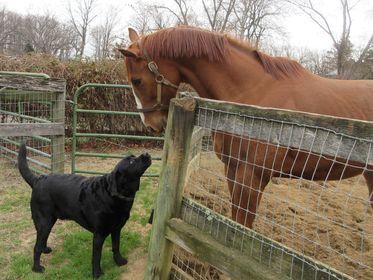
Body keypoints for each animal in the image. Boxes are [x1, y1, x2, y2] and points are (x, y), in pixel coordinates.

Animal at [17, 143, 151, 278]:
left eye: (133, 157)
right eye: (131, 161)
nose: (146, 153)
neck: (113, 195)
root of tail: (37, 180)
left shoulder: (117, 229)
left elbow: (116, 246)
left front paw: (119, 261)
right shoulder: (99, 235)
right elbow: (97, 257)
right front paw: (97, 273)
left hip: (49, 221)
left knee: (42, 240)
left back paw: (45, 250)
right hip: (44, 221)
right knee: (36, 247)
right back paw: (37, 268)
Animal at [120, 25, 372, 228]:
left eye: (137, 80)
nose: (151, 124)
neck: (251, 94)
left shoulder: (252, 177)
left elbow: (243, 228)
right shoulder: (233, 170)